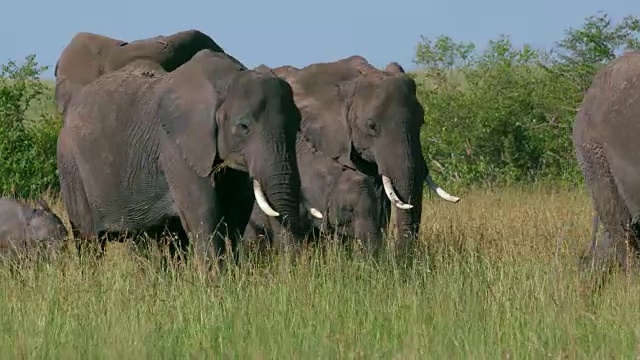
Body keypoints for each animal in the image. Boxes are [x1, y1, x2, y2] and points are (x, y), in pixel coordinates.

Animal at [56, 50, 304, 270]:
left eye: (297, 125)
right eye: (243, 127)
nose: (290, 275)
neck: (227, 78)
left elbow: (236, 213)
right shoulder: (176, 146)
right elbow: (204, 213)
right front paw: (217, 287)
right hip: (71, 165)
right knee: (88, 239)